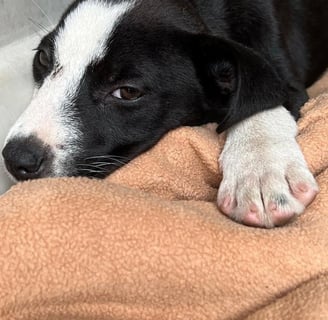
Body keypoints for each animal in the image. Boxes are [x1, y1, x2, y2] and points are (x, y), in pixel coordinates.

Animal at [1, 0, 326, 228]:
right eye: (43, 58)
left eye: (127, 92)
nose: (17, 158)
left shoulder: (283, 78)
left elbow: (258, 101)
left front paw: (260, 172)